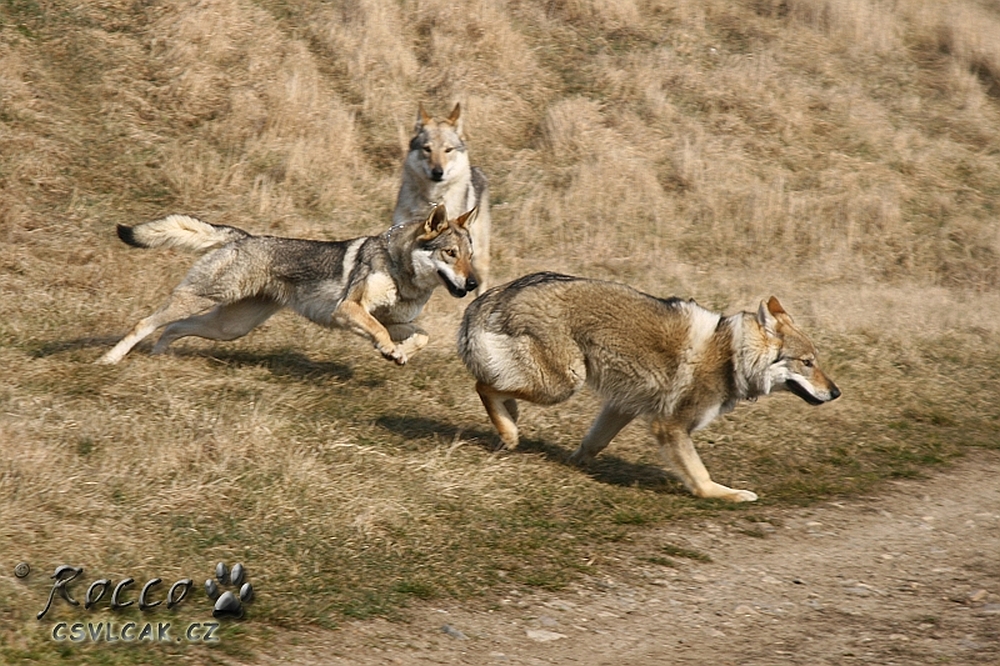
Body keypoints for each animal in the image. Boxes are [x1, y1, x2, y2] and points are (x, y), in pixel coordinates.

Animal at [99, 205, 478, 366]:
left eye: (470, 255)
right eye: (450, 253)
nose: (474, 283)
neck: (402, 274)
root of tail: (243, 237)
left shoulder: (395, 319)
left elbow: (423, 335)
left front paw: (401, 353)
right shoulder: (349, 310)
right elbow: (379, 332)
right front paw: (388, 350)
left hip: (228, 327)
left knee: (173, 328)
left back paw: (159, 356)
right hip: (199, 300)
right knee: (144, 323)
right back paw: (110, 359)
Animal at [390, 102, 492, 294]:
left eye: (448, 150)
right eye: (427, 149)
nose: (438, 172)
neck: (431, 202)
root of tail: (478, 171)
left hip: (479, 259)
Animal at [458, 272, 840, 500]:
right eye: (808, 363)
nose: (836, 392)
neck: (731, 356)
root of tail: (499, 293)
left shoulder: (622, 406)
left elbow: (592, 443)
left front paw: (573, 464)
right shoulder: (670, 427)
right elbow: (701, 478)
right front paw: (729, 495)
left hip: (557, 383)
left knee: (496, 388)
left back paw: (509, 423)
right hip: (564, 384)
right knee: (482, 386)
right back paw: (509, 433)